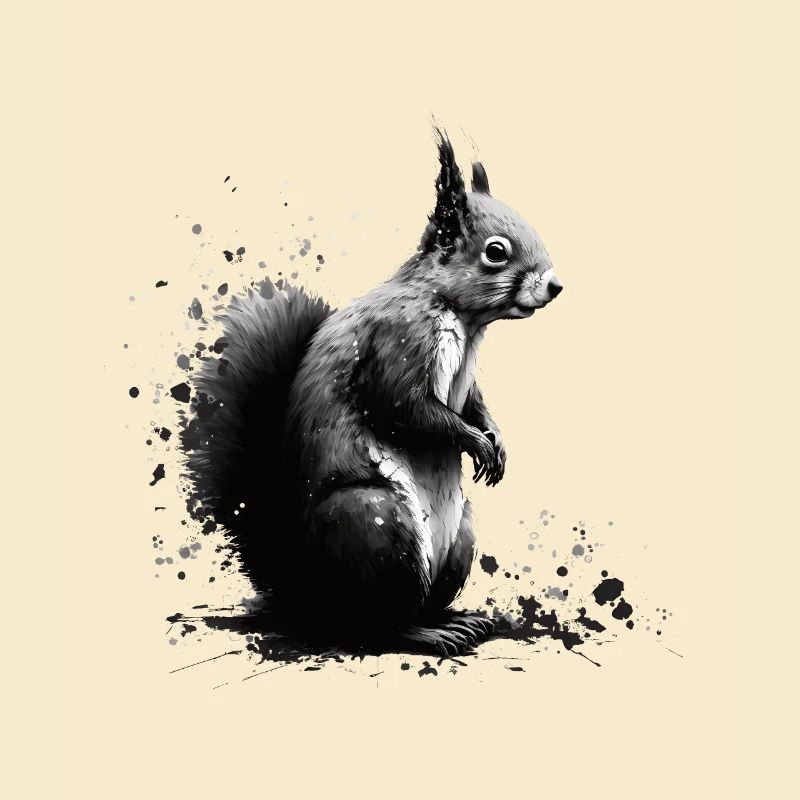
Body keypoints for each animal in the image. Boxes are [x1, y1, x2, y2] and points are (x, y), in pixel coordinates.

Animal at [181, 130, 563, 656]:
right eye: (496, 252)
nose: (555, 285)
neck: (461, 318)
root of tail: (306, 596)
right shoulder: (397, 341)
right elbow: (407, 408)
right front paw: (476, 443)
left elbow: (474, 403)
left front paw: (497, 441)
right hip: (377, 525)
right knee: (378, 628)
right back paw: (427, 633)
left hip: (459, 535)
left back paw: (458, 617)